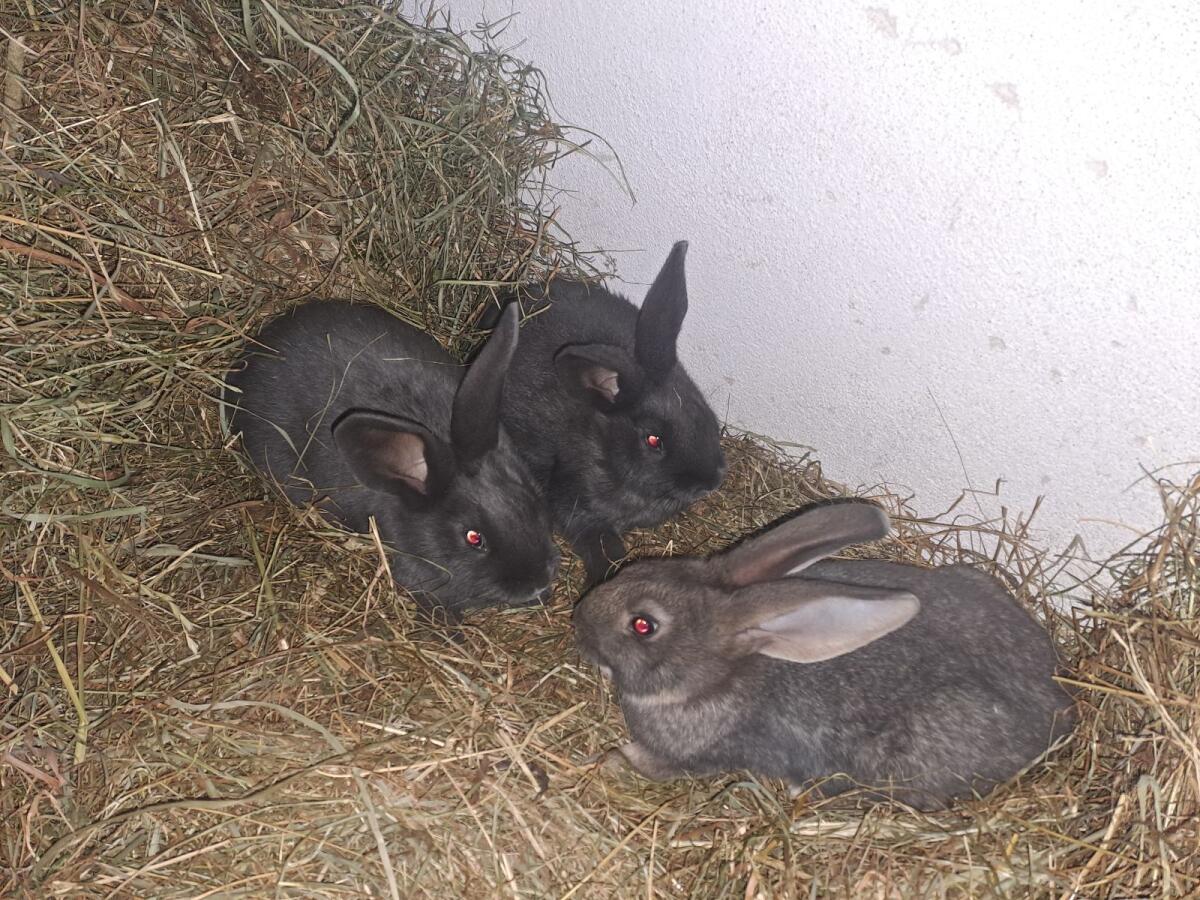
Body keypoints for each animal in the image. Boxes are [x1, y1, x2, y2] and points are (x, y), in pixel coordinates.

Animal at [573, 501, 1076, 810]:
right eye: (635, 569)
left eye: (643, 625)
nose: (579, 619)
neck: (713, 677)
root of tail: (1059, 713)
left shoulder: (698, 755)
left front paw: (611, 762)